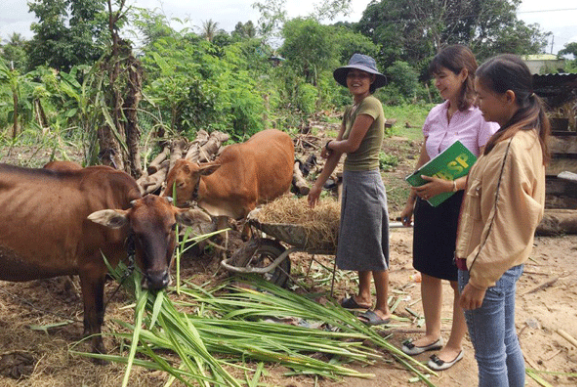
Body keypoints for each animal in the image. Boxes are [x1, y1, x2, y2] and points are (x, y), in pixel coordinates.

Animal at [0, 164, 212, 354]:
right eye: (135, 230)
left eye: (172, 226)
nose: (158, 279)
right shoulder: (91, 269)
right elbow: (96, 311)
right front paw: (99, 351)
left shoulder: (92, 272)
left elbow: (91, 308)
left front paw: (87, 335)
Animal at [162, 127, 294, 218]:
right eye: (167, 179)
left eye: (181, 184)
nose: (163, 201)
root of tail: (284, 134)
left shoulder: (250, 206)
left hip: (285, 189)